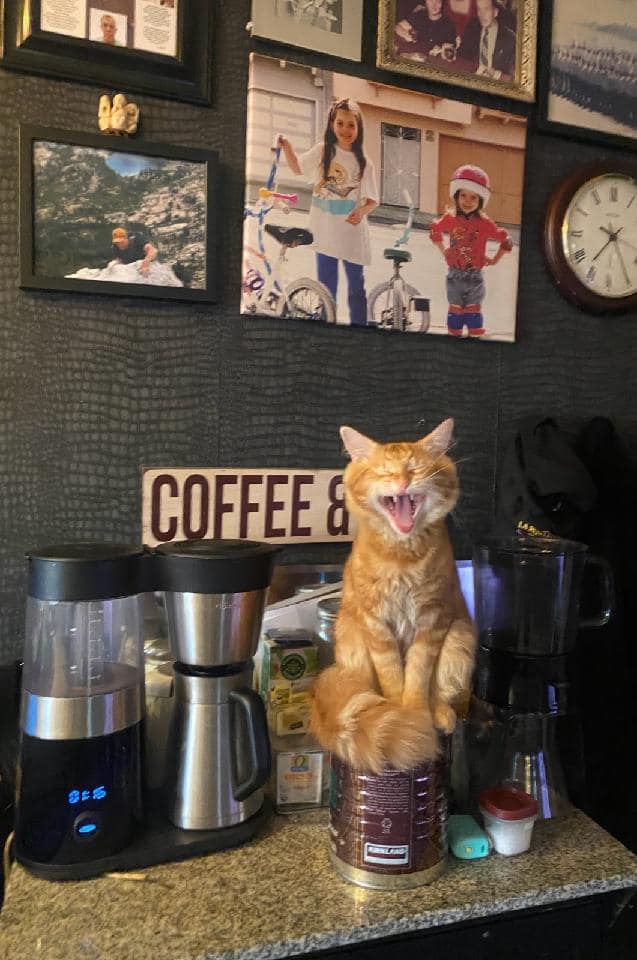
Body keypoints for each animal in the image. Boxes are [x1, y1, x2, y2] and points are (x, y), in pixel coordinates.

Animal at [310, 419, 475, 773]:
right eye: (385, 471)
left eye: (415, 468)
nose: (402, 480)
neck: (402, 557)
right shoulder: (376, 623)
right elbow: (393, 676)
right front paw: (403, 718)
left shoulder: (433, 618)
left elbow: (418, 675)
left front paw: (417, 716)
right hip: (352, 640)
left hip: (459, 638)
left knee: (441, 691)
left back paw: (441, 714)